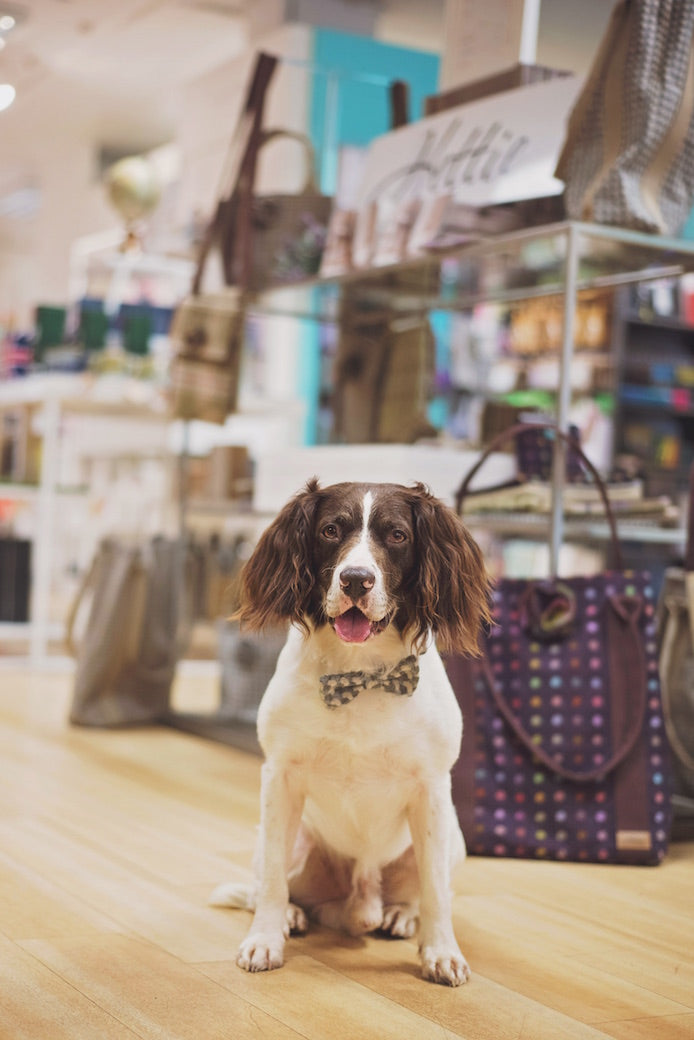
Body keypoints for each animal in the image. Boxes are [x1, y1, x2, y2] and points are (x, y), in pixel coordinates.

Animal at [210, 478, 489, 981]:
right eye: (330, 530)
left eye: (397, 535)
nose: (356, 579)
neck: (361, 673)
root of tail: (362, 899)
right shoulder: (279, 777)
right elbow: (272, 882)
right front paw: (264, 939)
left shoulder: (433, 787)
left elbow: (437, 890)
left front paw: (441, 951)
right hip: (290, 840)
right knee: (277, 887)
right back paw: (292, 916)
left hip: (453, 839)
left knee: (420, 888)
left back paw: (400, 915)